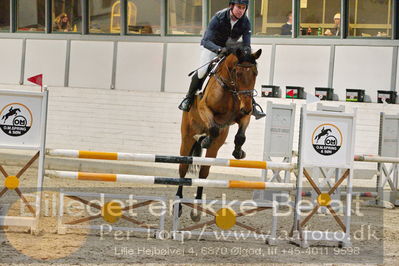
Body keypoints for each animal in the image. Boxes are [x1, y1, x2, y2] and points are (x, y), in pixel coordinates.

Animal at [177, 47, 264, 220]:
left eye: (255, 73)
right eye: (237, 73)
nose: (247, 107)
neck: (231, 89)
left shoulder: (243, 116)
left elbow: (240, 136)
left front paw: (238, 152)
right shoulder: (205, 108)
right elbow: (214, 128)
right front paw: (205, 140)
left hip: (215, 147)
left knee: (204, 172)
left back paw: (197, 210)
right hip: (187, 137)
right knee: (183, 168)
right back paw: (178, 206)